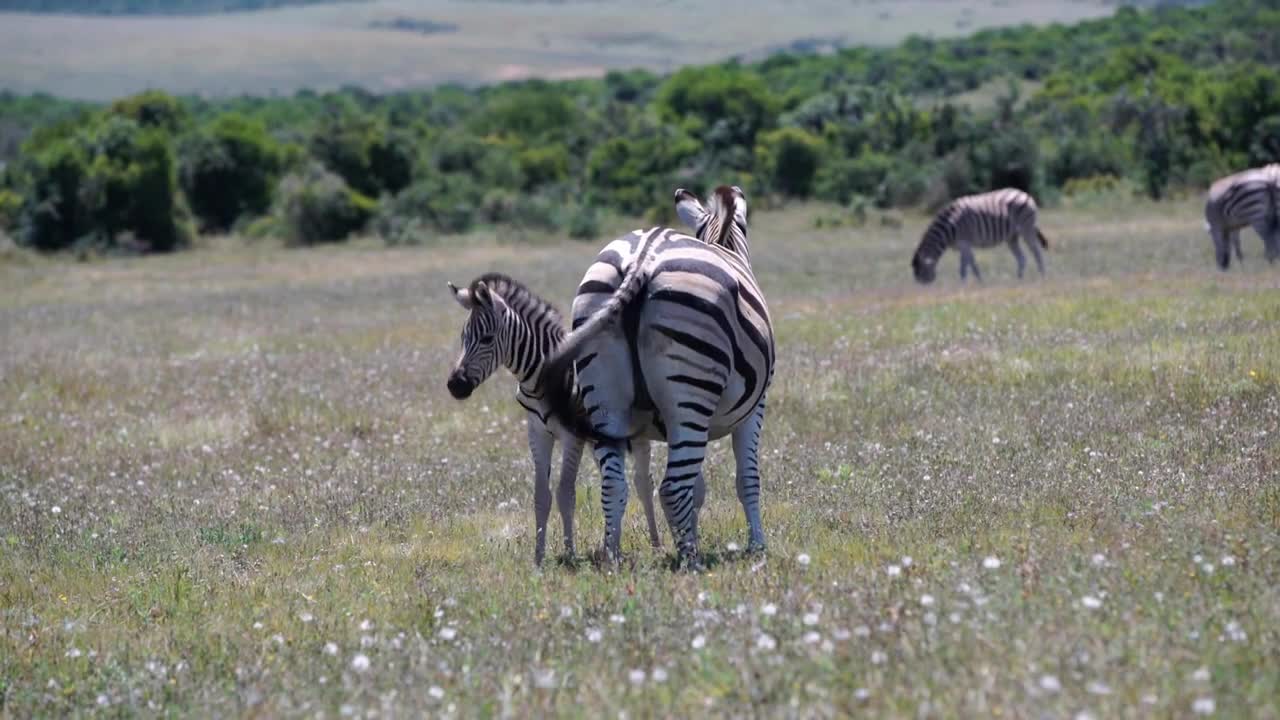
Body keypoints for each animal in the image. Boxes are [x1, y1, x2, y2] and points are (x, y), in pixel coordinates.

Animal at [445, 271, 665, 563]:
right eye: (463, 337)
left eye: (487, 339)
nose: (454, 385)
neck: (541, 377)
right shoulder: (538, 432)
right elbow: (542, 495)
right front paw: (538, 556)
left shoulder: (572, 437)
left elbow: (565, 493)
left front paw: (570, 552)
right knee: (615, 483)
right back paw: (610, 545)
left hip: (631, 433)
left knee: (642, 483)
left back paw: (655, 544)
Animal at [537, 184, 773, 566]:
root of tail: (641, 260)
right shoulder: (755, 407)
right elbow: (746, 479)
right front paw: (757, 546)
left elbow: (699, 488)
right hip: (690, 396)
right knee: (673, 487)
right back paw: (690, 562)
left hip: (605, 396)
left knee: (614, 484)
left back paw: (613, 557)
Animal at [911, 185, 1049, 281]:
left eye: (921, 275)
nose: (924, 288)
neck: (949, 227)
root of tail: (1025, 194)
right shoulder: (963, 246)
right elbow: (968, 265)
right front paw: (970, 283)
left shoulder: (964, 243)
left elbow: (968, 266)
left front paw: (971, 283)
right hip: (1012, 237)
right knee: (1022, 258)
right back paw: (1019, 279)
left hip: (1027, 228)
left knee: (1036, 251)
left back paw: (1042, 275)